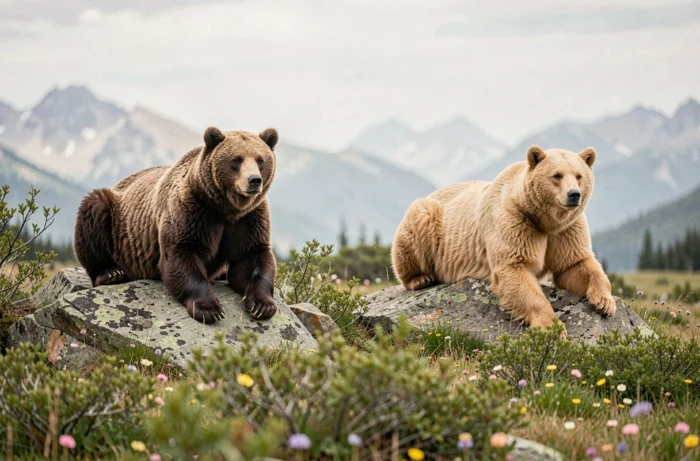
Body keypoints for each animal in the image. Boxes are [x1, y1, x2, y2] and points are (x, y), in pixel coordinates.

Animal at [73, 126, 280, 324]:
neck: (225, 208)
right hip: (116, 219)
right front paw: (208, 309)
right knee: (93, 212)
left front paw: (262, 305)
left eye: (260, 160)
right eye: (236, 160)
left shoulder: (249, 218)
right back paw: (110, 273)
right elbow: (181, 254)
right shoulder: (192, 211)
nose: (254, 180)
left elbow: (251, 257)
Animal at [391, 145, 616, 331]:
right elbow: (515, 269)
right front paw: (551, 326)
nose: (574, 194)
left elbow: (575, 263)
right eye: (557, 175)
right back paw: (420, 278)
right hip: (428, 218)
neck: (544, 220)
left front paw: (605, 303)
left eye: (579, 176)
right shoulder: (515, 222)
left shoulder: (566, 230)